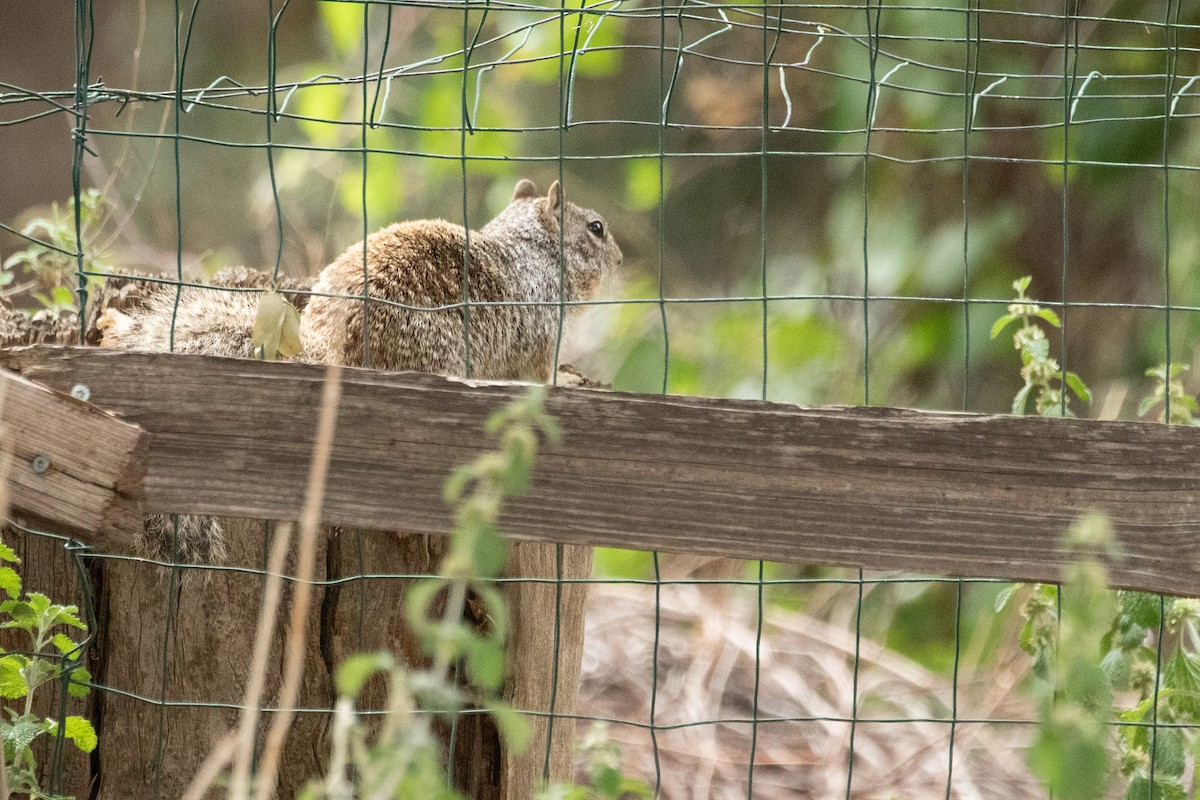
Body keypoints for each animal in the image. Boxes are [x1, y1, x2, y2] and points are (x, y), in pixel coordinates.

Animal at [302, 178, 622, 380]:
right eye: (596, 228)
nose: (620, 260)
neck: (535, 250)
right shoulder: (543, 335)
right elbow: (541, 377)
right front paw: (565, 380)